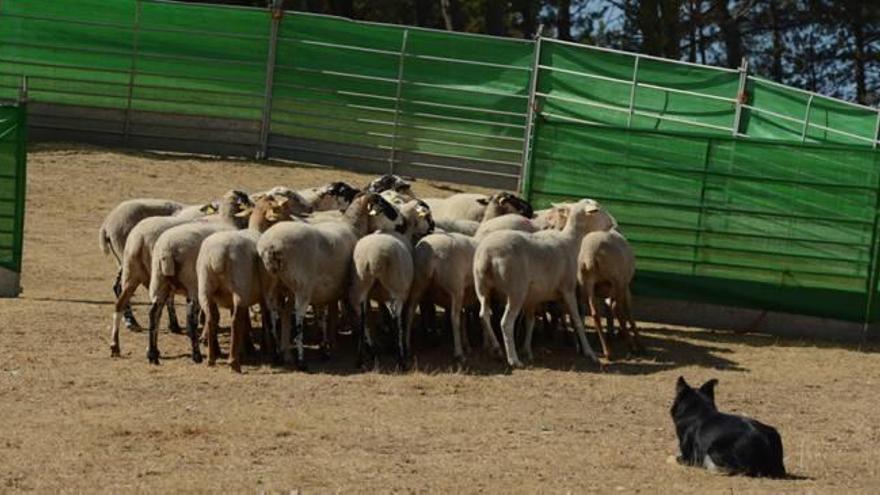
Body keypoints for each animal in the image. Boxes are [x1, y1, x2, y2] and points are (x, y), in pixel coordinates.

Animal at [144, 190, 253, 364]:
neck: (228, 220)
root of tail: (167, 249)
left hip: (159, 280)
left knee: (154, 314)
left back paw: (153, 354)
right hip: (192, 285)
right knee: (190, 321)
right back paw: (196, 356)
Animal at [199, 194, 310, 372]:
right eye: (283, 209)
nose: (293, 221)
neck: (257, 230)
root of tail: (217, 256)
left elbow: (248, 321)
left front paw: (248, 347)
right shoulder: (265, 293)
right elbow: (266, 319)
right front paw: (267, 348)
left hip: (205, 287)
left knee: (211, 318)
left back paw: (211, 358)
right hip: (239, 287)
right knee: (234, 321)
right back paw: (234, 362)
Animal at [256, 192, 404, 370]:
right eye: (382, 205)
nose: (402, 224)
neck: (353, 226)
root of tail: (271, 246)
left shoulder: (323, 290)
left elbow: (322, 317)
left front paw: (325, 348)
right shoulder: (349, 287)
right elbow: (361, 315)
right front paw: (369, 346)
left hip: (271, 285)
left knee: (272, 315)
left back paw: (277, 355)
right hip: (302, 287)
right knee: (298, 318)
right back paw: (301, 361)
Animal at [474, 200, 612, 370]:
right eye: (597, 210)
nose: (612, 223)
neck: (571, 242)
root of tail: (487, 254)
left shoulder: (532, 298)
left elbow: (530, 323)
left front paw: (527, 351)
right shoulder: (568, 289)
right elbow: (577, 321)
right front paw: (590, 353)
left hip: (482, 286)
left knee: (484, 314)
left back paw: (495, 348)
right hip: (515, 290)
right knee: (506, 323)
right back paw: (513, 359)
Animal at [576, 229, 644, 360]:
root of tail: (590, 256)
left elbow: (608, 308)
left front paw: (611, 334)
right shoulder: (625, 287)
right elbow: (628, 312)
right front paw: (638, 343)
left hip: (586, 284)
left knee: (594, 313)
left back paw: (607, 351)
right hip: (617, 280)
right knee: (616, 308)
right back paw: (631, 346)